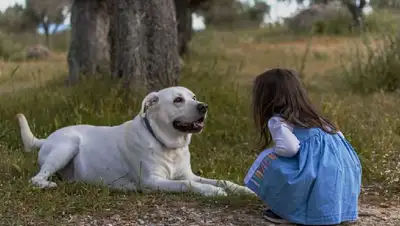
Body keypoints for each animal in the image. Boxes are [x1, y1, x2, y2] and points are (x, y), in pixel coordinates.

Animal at [16, 86, 253, 196]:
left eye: (193, 97)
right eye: (178, 100)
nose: (203, 106)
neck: (168, 145)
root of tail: (46, 139)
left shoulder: (188, 174)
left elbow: (222, 180)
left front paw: (243, 190)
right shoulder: (153, 181)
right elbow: (188, 184)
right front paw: (212, 191)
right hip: (67, 145)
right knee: (36, 178)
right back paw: (47, 183)